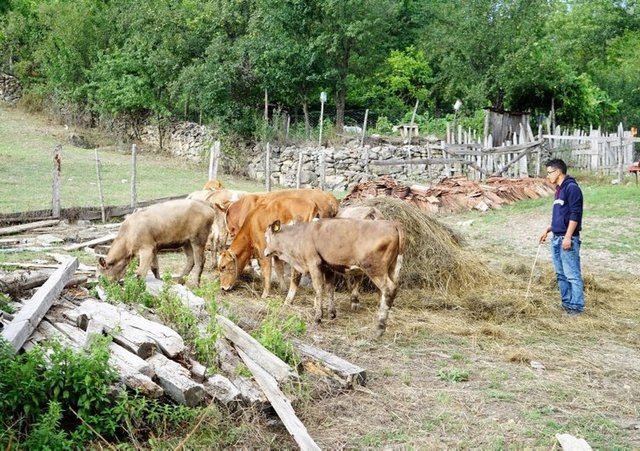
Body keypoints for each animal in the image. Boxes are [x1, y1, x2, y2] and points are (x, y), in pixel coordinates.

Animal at [262, 217, 402, 338]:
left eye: (266, 236)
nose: (265, 252)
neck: (300, 235)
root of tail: (393, 224)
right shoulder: (328, 267)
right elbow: (330, 288)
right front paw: (331, 313)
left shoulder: (314, 264)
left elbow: (318, 289)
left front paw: (318, 318)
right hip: (392, 268)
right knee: (386, 292)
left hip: (374, 268)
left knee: (388, 289)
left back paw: (380, 328)